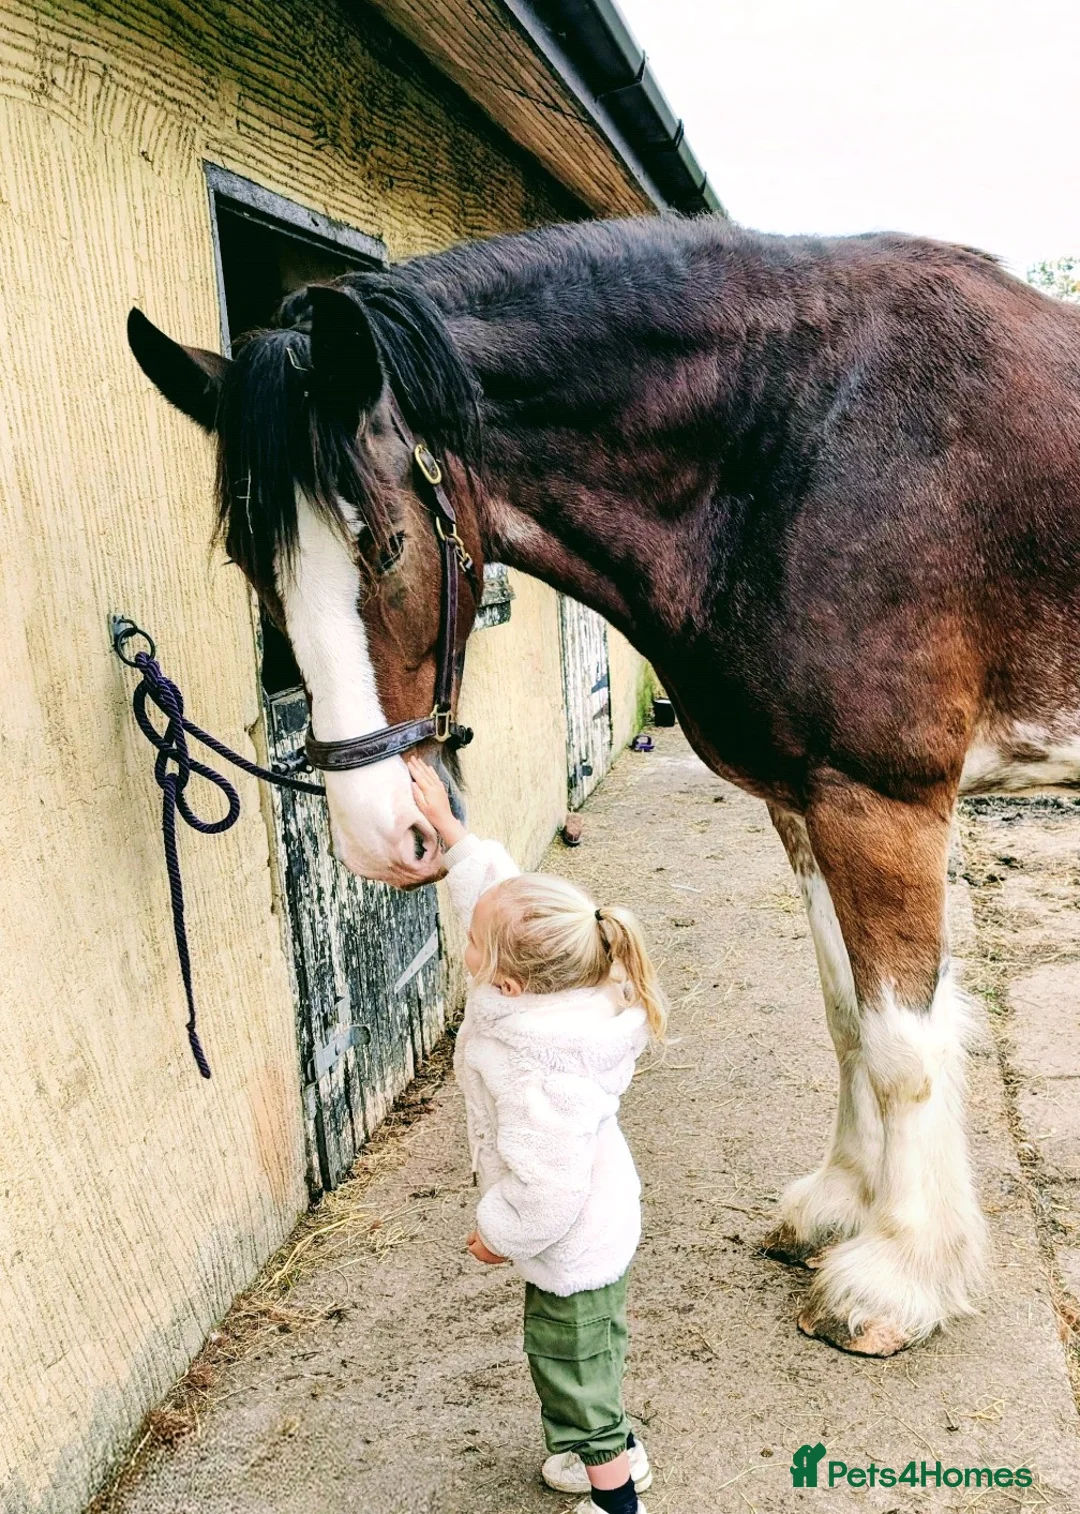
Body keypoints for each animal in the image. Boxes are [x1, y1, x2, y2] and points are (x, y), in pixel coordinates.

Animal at [127, 213, 1080, 1358]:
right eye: (248, 564)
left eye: (388, 545)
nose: (378, 831)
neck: (800, 441)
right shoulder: (804, 805)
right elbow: (846, 1011)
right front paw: (838, 1204)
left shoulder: (879, 804)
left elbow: (904, 1044)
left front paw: (898, 1274)